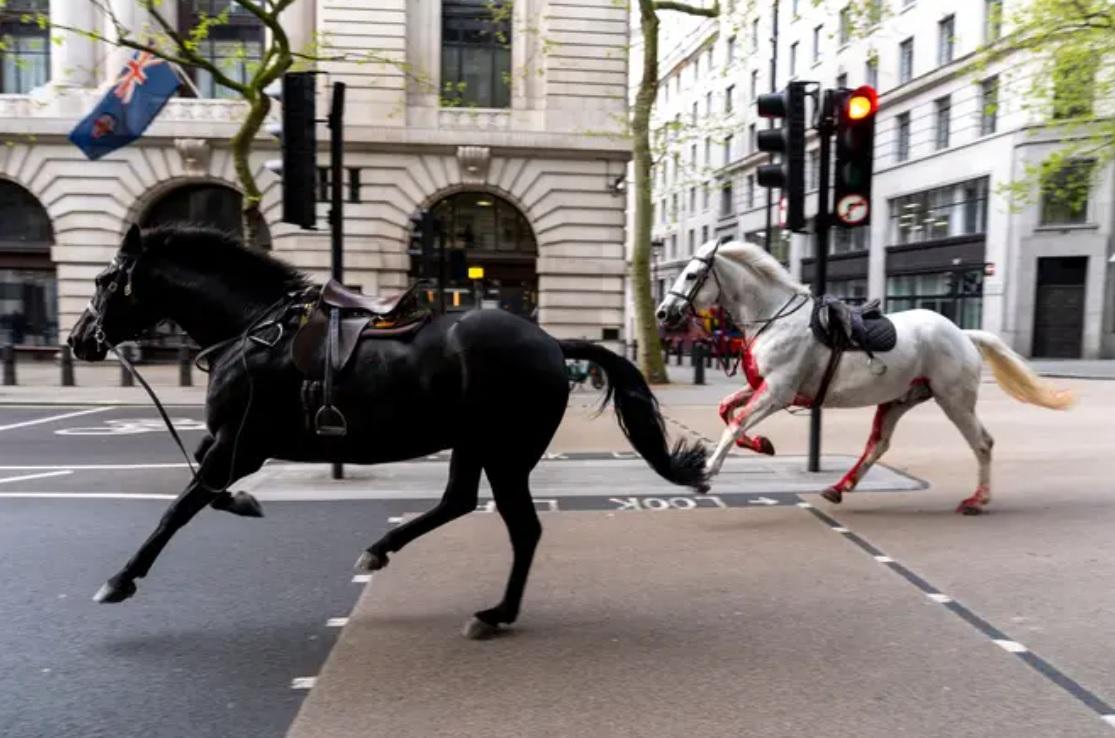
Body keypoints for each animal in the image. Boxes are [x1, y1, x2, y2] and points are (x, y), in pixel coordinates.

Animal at [67, 227, 704, 642]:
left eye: (103, 279)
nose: (77, 341)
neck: (253, 330)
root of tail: (552, 342)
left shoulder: (240, 444)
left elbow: (180, 506)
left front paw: (120, 579)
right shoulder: (229, 444)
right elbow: (203, 488)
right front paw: (246, 503)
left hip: (504, 451)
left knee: (522, 527)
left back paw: (495, 613)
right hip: (475, 444)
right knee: (458, 501)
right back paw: (384, 550)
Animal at [655, 241, 1074, 515]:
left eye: (692, 274)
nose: (662, 313)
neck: (774, 318)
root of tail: (962, 334)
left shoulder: (777, 391)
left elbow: (735, 423)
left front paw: (705, 472)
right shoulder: (763, 387)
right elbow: (727, 410)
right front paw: (762, 444)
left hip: (953, 400)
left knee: (982, 443)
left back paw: (977, 500)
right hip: (899, 400)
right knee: (878, 445)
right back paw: (840, 487)